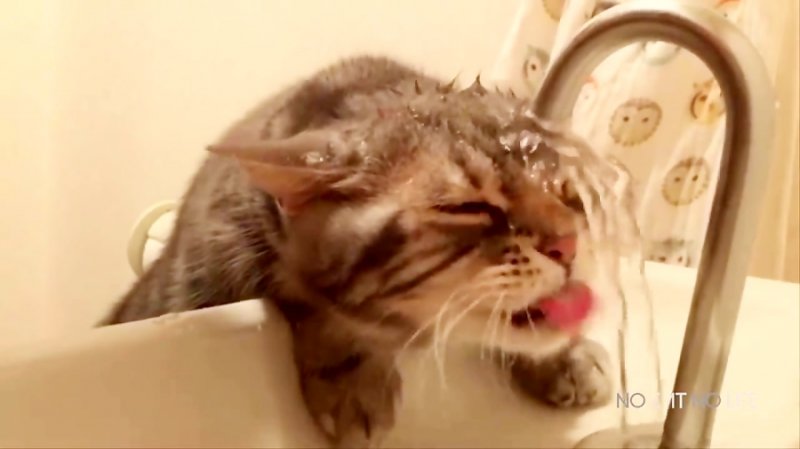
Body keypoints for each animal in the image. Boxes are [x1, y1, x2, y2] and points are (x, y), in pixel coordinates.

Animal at [101, 56, 614, 448]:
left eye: (566, 190)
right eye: (469, 207)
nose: (567, 244)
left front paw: (564, 357)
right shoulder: (232, 248)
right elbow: (311, 300)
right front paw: (353, 380)